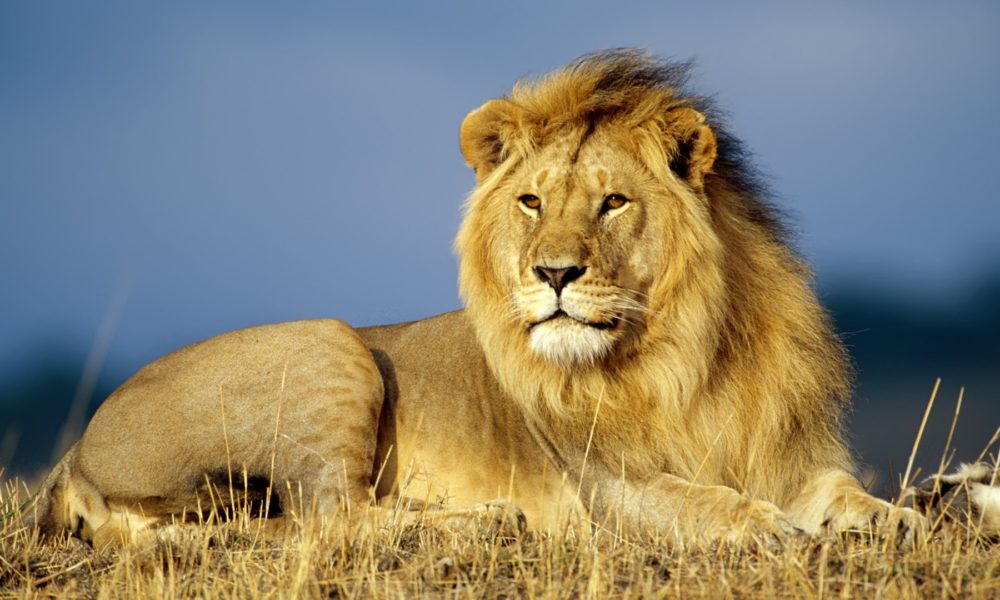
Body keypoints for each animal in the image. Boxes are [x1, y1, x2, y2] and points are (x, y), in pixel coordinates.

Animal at [29, 50, 993, 548]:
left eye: (613, 202)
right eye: (531, 201)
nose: (553, 274)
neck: (686, 353)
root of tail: (74, 455)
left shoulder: (790, 455)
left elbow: (849, 494)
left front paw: (918, 513)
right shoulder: (608, 487)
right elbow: (706, 504)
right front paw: (775, 533)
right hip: (331, 344)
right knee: (328, 521)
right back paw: (486, 521)